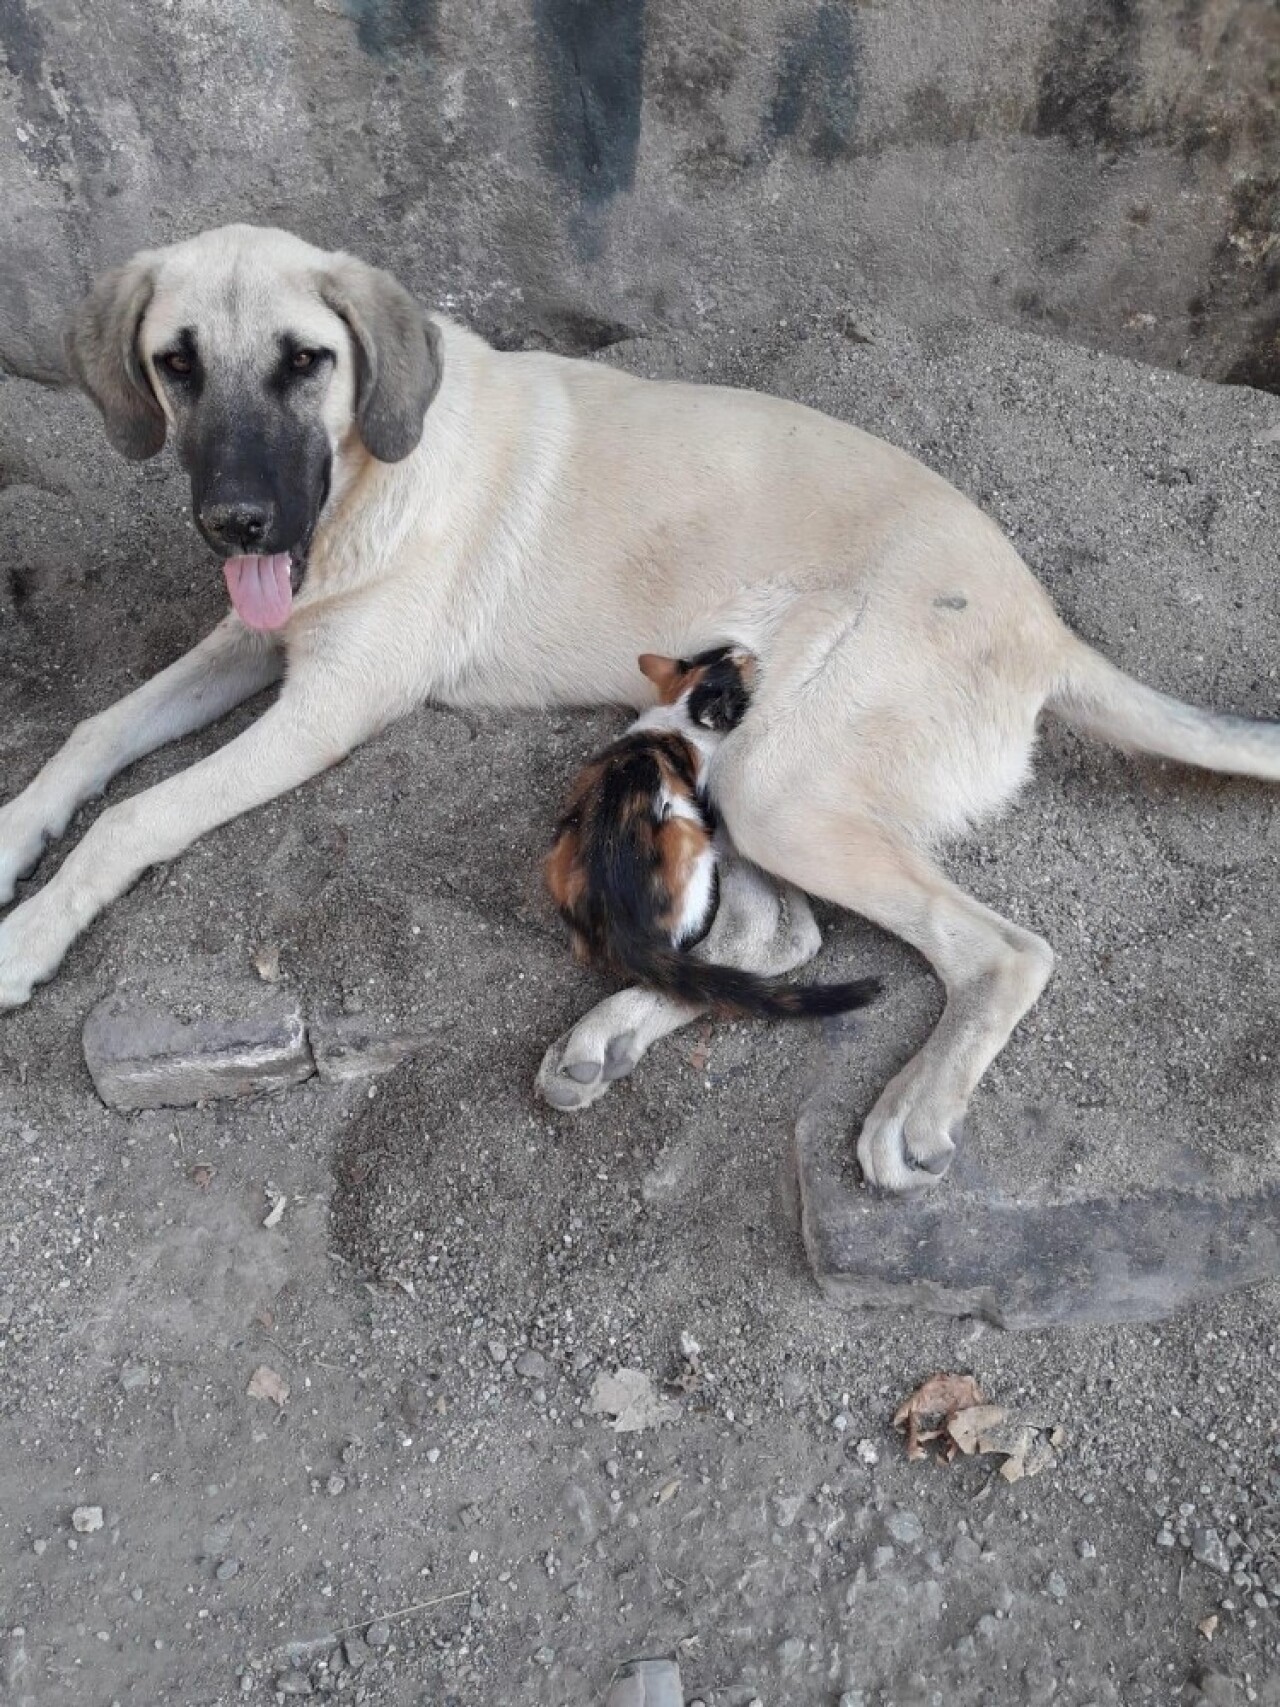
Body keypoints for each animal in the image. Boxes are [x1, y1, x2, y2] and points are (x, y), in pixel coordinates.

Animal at [546, 641, 887, 1010]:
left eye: (722, 652)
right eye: (741, 665)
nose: (747, 650)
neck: (681, 715)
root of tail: (619, 930)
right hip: (687, 838)